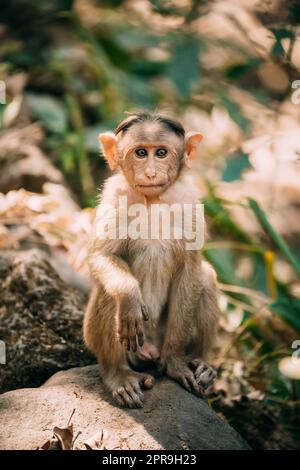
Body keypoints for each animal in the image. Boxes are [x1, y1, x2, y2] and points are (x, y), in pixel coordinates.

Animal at [83, 110, 219, 408]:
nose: (151, 172)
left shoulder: (190, 201)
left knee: (205, 277)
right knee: (110, 295)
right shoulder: (115, 194)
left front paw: (175, 363)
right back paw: (118, 374)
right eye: (141, 152)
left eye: (161, 153)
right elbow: (103, 255)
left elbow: (191, 267)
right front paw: (129, 295)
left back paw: (199, 361)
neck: (153, 199)